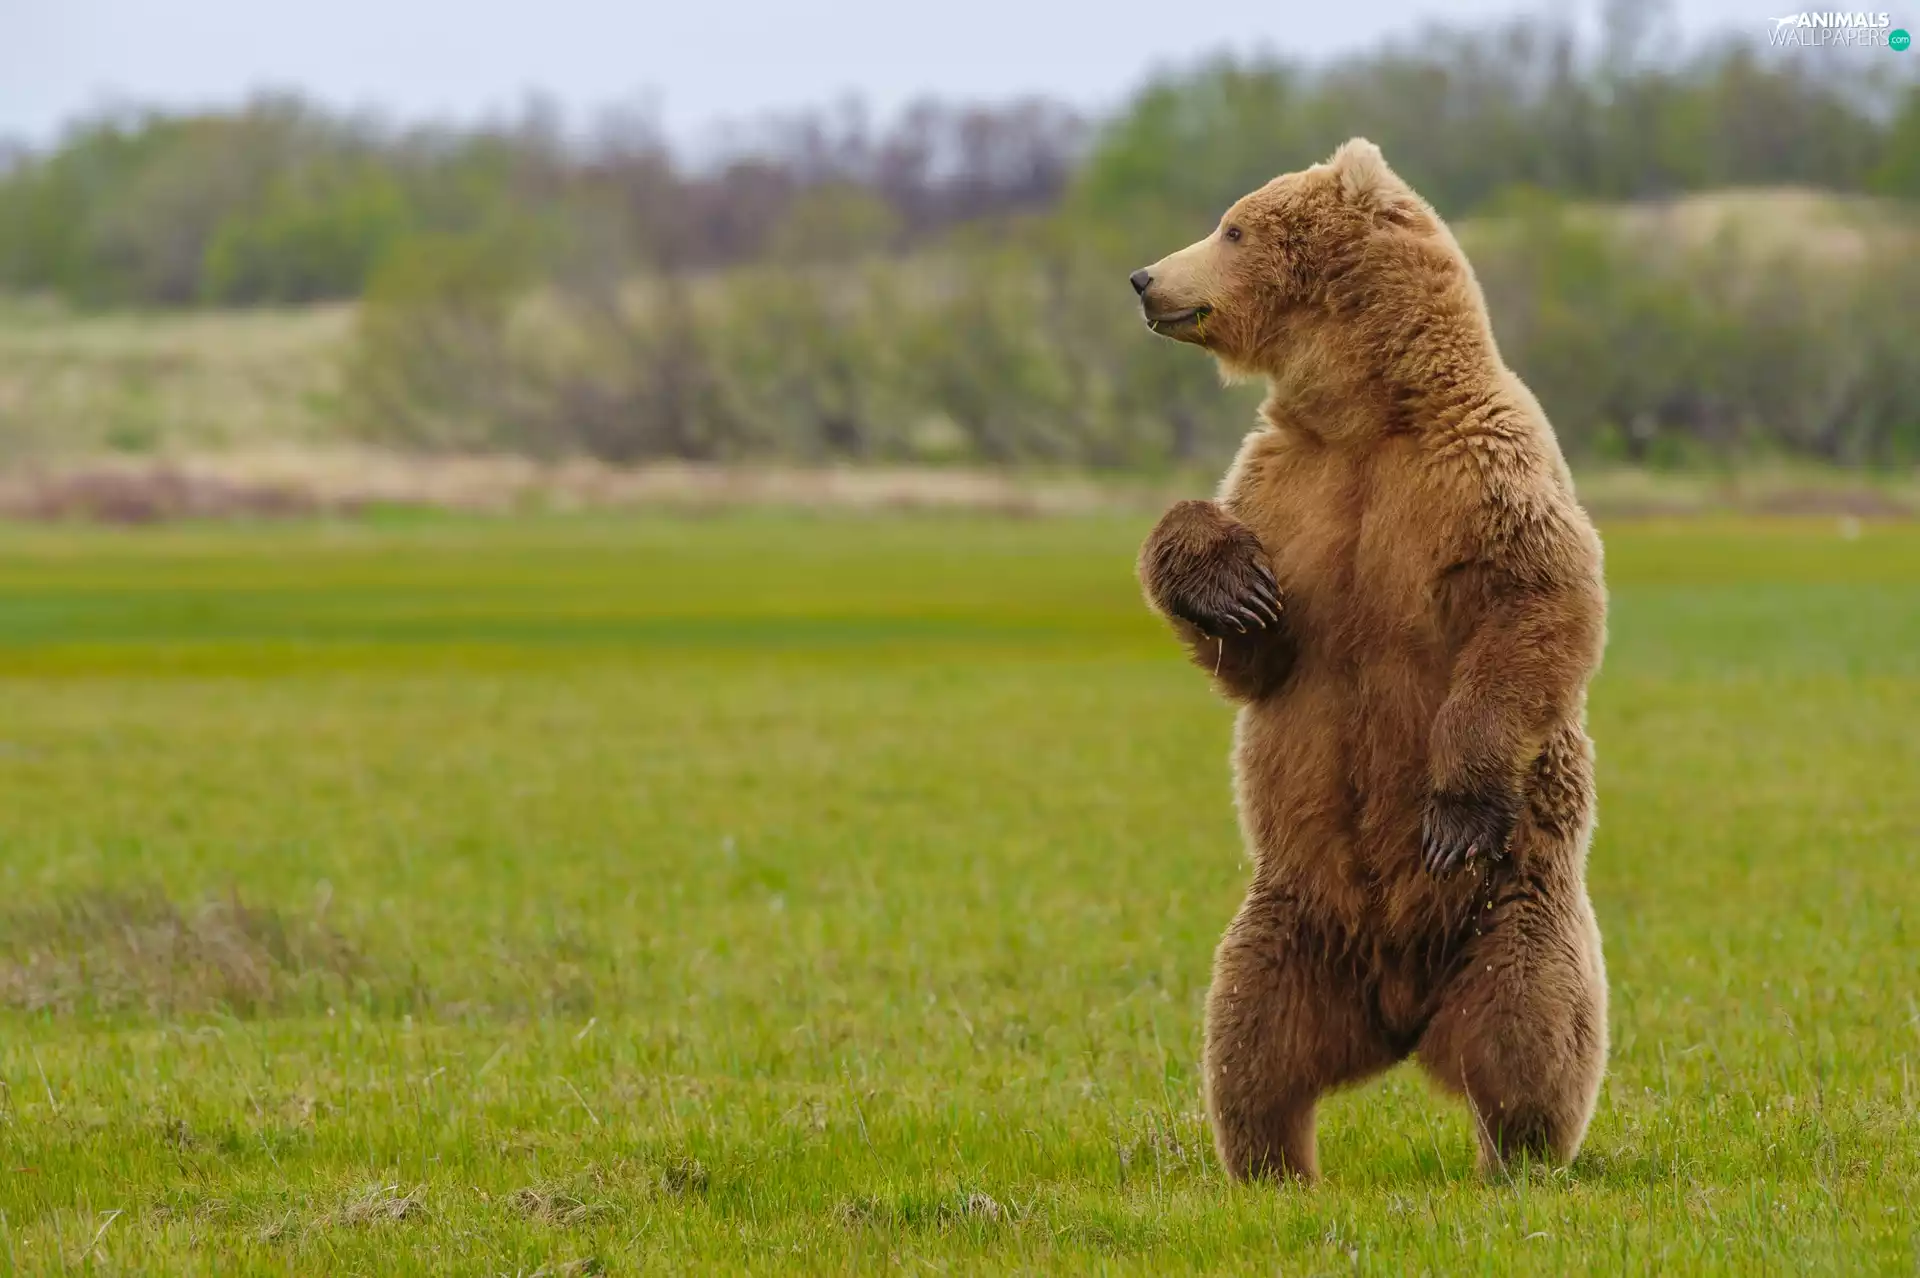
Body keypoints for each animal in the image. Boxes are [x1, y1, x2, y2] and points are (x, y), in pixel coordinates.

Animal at [1131, 138, 1608, 1183]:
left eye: (1232, 227)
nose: (1144, 278)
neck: (1368, 415)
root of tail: (1399, 1017)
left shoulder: (1484, 469)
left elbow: (1536, 607)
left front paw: (1454, 810)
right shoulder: (1288, 487)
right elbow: (1256, 654)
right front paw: (1228, 584)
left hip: (1512, 909)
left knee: (1530, 1031)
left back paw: (1518, 1159)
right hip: (1290, 921)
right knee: (1249, 1044)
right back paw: (1271, 1167)